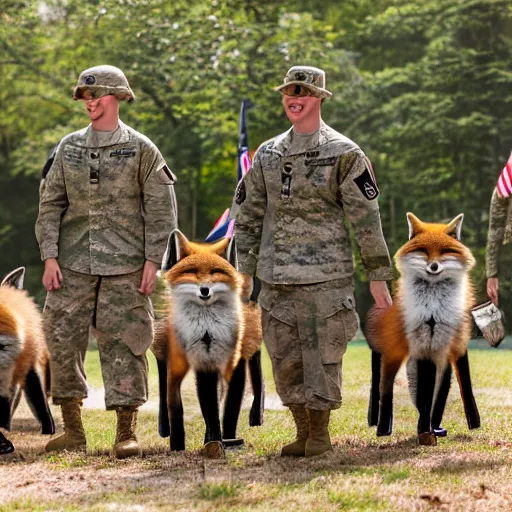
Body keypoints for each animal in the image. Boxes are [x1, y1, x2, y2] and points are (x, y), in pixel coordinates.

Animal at [151, 230, 264, 458]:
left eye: (216, 274)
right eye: (192, 273)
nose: (205, 290)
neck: (207, 331)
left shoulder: (234, 364)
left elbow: (229, 408)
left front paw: (224, 440)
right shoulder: (201, 363)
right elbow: (196, 407)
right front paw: (199, 443)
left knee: (257, 380)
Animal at [366, 214, 478, 446]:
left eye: (446, 251)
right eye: (423, 251)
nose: (433, 266)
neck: (434, 313)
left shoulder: (448, 349)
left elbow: (446, 392)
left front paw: (434, 428)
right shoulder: (424, 349)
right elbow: (424, 395)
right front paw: (425, 431)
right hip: (390, 358)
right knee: (383, 389)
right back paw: (381, 426)